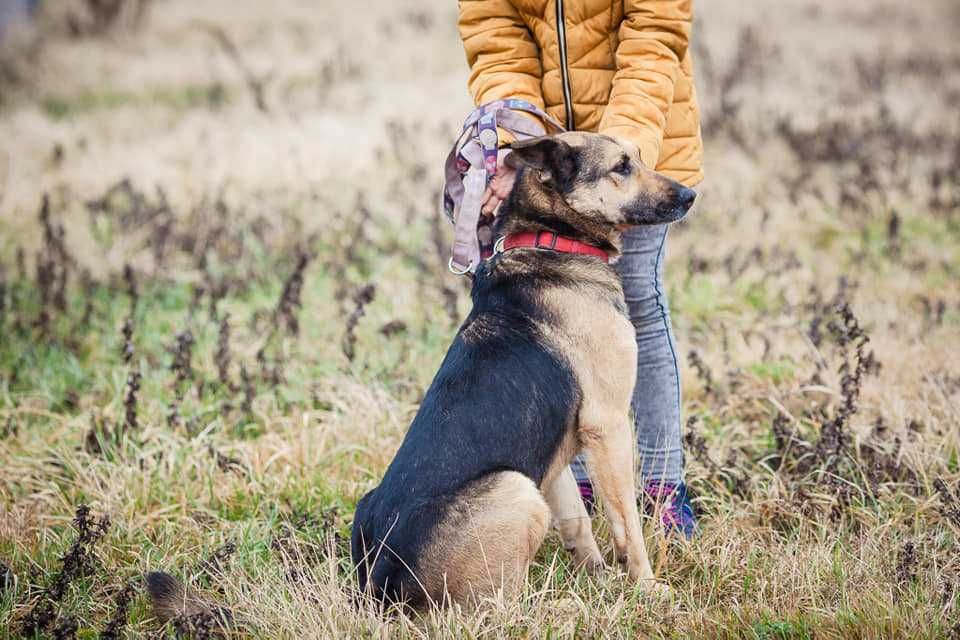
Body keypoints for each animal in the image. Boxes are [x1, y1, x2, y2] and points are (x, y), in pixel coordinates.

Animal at [348, 131, 692, 608]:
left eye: (639, 157)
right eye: (622, 166)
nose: (690, 195)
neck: (553, 238)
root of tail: (382, 583)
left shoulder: (554, 451)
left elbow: (576, 518)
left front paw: (599, 578)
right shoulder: (607, 425)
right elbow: (627, 523)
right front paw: (646, 586)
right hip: (515, 488)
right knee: (495, 608)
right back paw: (555, 606)